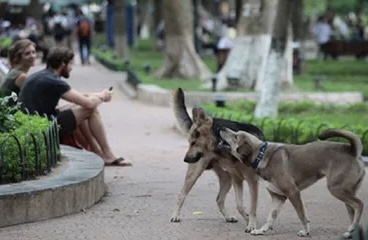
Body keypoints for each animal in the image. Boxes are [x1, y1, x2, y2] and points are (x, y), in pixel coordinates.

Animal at [171, 87, 264, 232]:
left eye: (193, 143)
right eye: (189, 142)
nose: (185, 159)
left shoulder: (251, 180)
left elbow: (250, 206)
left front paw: (251, 222)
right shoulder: (238, 179)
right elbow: (240, 205)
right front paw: (250, 221)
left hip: (227, 179)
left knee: (219, 199)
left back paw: (229, 217)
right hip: (196, 174)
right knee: (182, 194)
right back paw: (175, 215)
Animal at [218, 126, 366, 237]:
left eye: (236, 136)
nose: (222, 127)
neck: (262, 155)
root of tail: (352, 151)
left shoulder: (293, 192)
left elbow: (301, 214)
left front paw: (305, 231)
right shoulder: (278, 197)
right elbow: (271, 216)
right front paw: (262, 230)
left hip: (336, 189)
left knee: (360, 204)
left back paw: (351, 228)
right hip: (345, 193)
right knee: (353, 209)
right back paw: (350, 232)